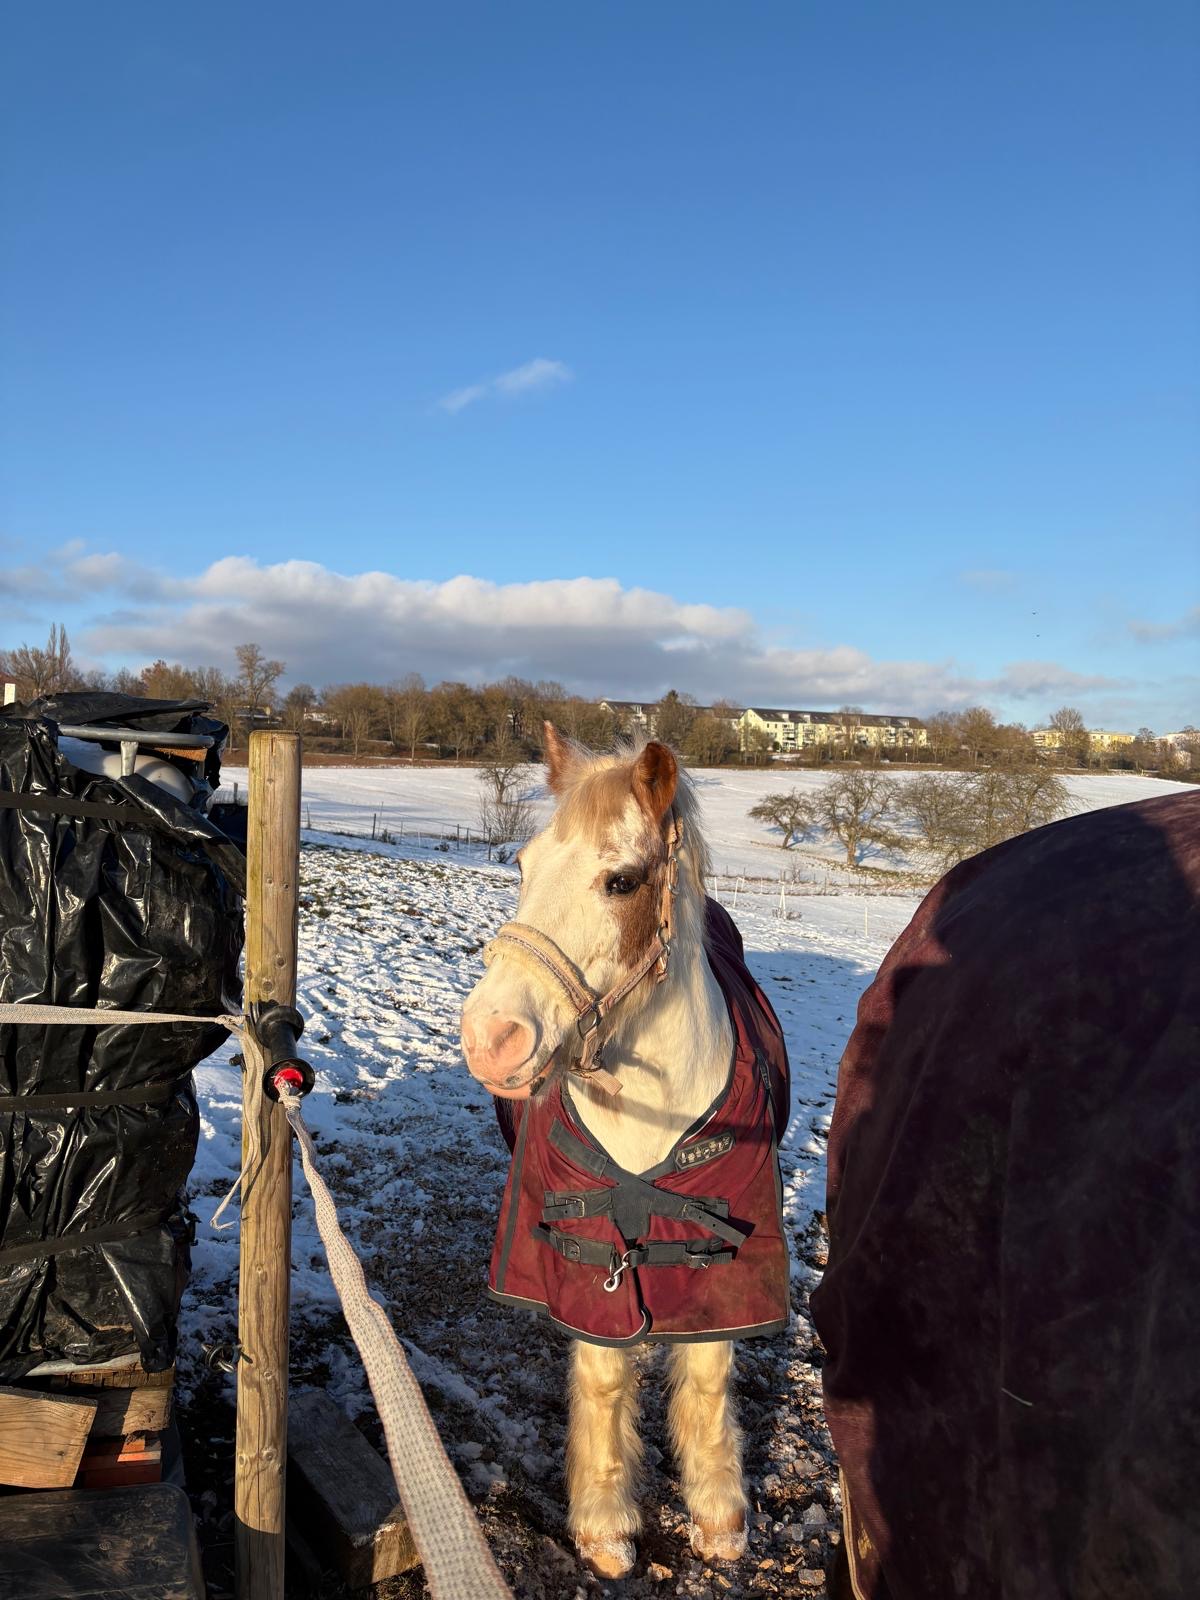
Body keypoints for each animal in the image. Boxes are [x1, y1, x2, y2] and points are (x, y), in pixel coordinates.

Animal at [460, 728, 790, 1580]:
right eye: (522, 865)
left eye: (621, 880)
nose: (489, 1037)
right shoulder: (581, 1253)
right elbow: (606, 1375)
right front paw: (607, 1523)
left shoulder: (728, 1254)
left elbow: (706, 1374)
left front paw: (718, 1513)